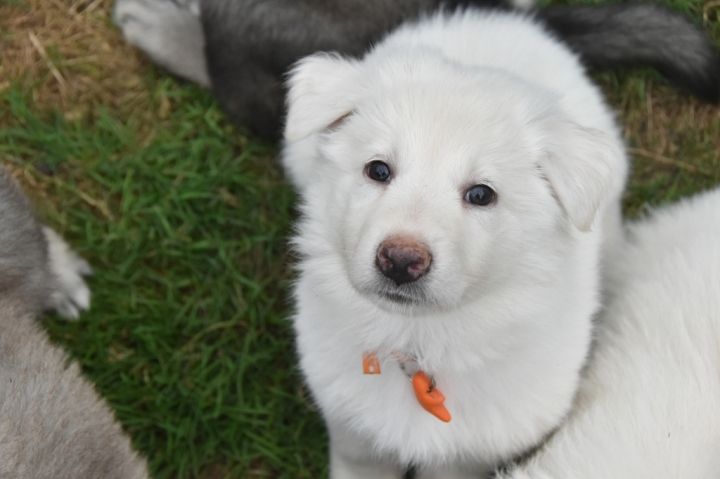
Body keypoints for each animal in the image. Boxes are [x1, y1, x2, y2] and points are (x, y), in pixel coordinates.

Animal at [282, 8, 629, 478]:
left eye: (481, 194)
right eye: (378, 170)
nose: (400, 260)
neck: (421, 343)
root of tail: (499, 18)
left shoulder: (470, 457)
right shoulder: (354, 440)